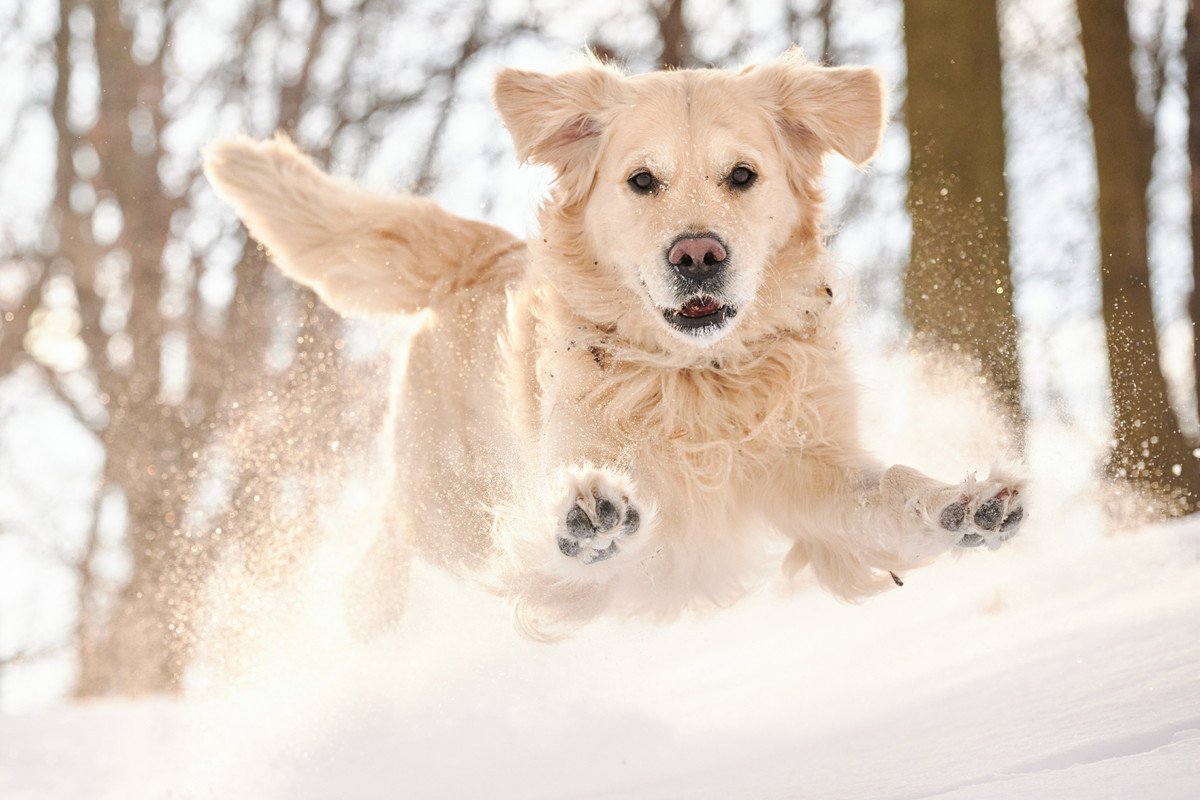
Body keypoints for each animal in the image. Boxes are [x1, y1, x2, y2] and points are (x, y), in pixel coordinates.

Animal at [204, 48, 1022, 638]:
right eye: (641, 181)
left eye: (742, 175)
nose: (698, 254)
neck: (698, 380)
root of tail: (482, 252)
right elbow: (556, 545)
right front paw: (586, 523)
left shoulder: (812, 475)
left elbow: (889, 495)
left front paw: (961, 506)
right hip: (446, 506)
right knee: (394, 537)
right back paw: (370, 608)